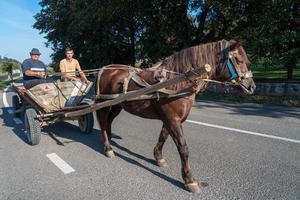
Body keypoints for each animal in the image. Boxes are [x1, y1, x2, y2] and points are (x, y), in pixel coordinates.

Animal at [94, 39, 255, 193]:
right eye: (239, 60)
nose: (252, 86)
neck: (176, 82)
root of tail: (105, 69)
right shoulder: (173, 119)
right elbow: (183, 148)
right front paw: (189, 179)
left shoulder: (171, 119)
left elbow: (163, 137)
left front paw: (159, 157)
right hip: (103, 103)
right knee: (102, 122)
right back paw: (108, 147)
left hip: (117, 105)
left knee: (108, 121)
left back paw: (108, 139)